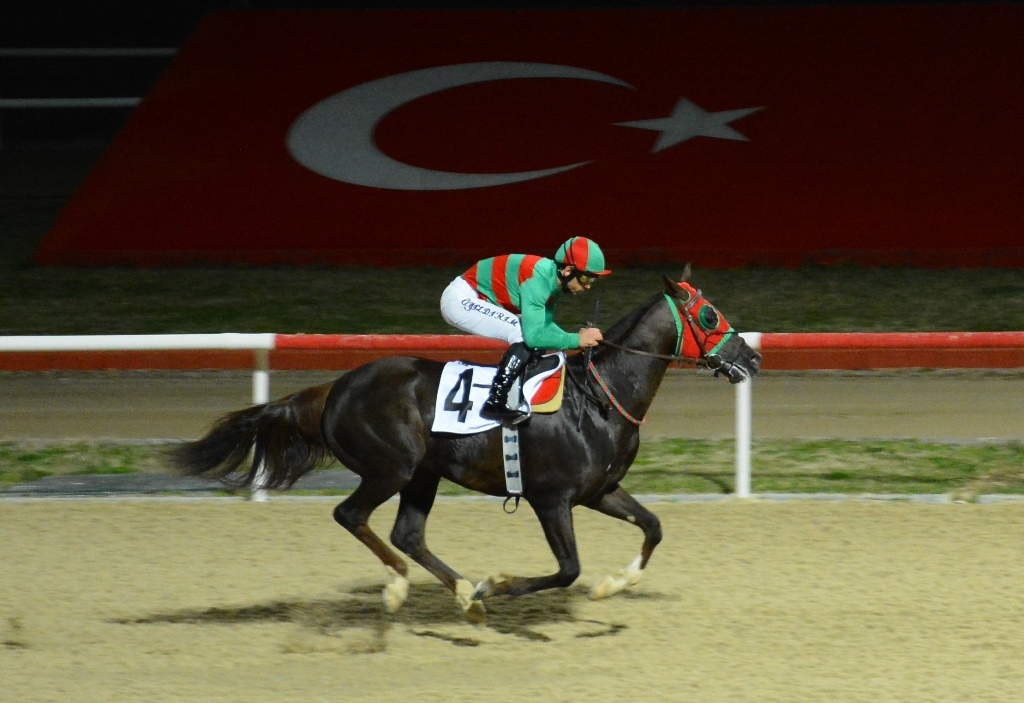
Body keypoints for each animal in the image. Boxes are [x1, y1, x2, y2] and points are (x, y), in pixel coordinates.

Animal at [167, 275, 762, 623]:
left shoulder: (600, 490)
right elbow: (567, 568)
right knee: (351, 515)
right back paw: (404, 588)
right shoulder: (552, 498)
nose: (752, 358)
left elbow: (653, 528)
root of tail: (333, 388)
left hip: (423, 474)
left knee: (407, 533)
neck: (599, 395)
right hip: (392, 467)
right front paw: (498, 585)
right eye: (709, 316)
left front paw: (614, 585)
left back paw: (459, 593)